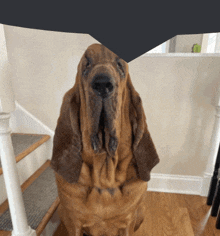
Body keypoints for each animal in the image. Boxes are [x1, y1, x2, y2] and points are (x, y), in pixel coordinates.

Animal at [50, 43, 159, 235]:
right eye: (86, 65)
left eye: (120, 66)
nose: (102, 84)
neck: (104, 179)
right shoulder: (74, 222)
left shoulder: (128, 222)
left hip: (141, 212)